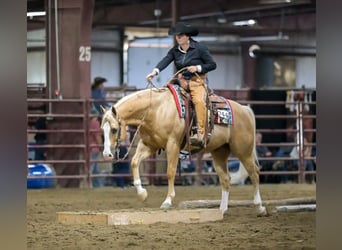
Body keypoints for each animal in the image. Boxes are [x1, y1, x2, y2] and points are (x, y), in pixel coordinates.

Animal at [100, 86, 266, 215]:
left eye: (114, 129)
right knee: (226, 179)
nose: (107, 154)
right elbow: (134, 162)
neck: (156, 109)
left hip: (243, 150)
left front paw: (167, 201)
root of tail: (244, 109)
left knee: (254, 173)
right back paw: (222, 210)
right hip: (219, 152)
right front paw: (142, 194)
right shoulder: (149, 145)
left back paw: (259, 207)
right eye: (103, 130)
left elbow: (170, 172)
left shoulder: (172, 145)